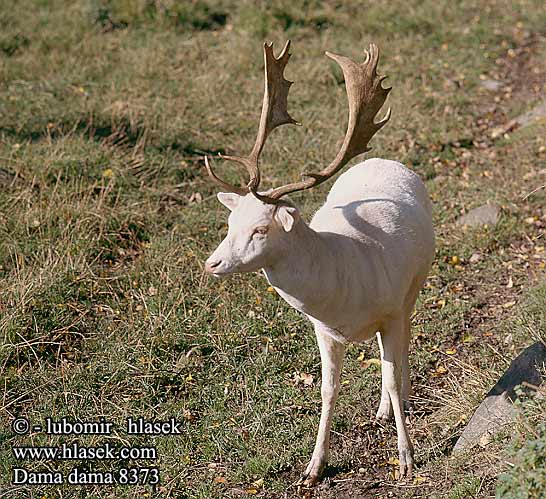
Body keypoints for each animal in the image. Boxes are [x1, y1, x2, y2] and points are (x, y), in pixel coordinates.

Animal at [202, 41, 432, 486]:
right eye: (230, 222)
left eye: (261, 229)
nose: (212, 263)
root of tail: (385, 160)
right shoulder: (323, 330)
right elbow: (327, 390)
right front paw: (313, 467)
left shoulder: (391, 310)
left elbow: (394, 374)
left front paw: (406, 457)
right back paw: (380, 411)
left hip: (415, 285)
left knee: (405, 343)